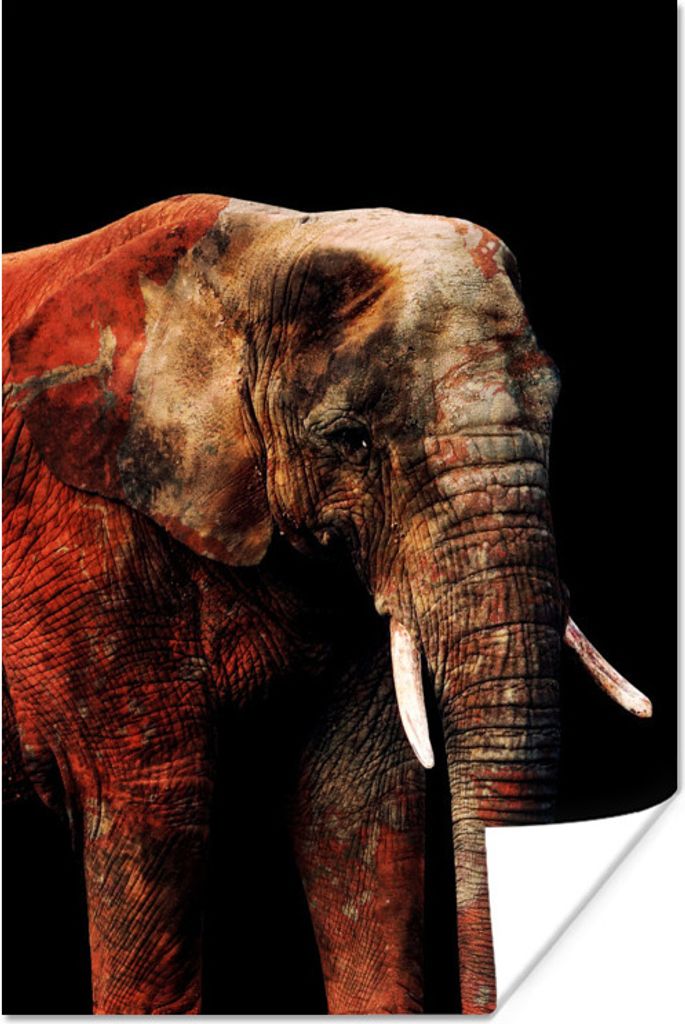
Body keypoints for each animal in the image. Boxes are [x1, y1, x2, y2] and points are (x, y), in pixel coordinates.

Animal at [2, 193, 652, 1015]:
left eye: (554, 411)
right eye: (350, 440)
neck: (251, 253)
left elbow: (356, 806)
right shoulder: (76, 533)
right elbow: (152, 805)